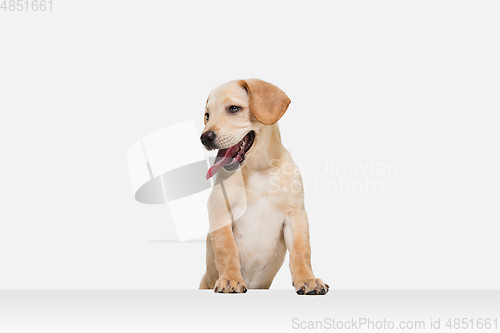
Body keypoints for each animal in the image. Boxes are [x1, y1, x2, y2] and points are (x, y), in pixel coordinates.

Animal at [197, 78, 330, 294]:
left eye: (234, 109)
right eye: (207, 115)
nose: (205, 138)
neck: (259, 168)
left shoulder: (296, 215)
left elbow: (301, 251)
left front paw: (308, 279)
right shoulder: (219, 211)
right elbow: (227, 249)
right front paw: (230, 278)